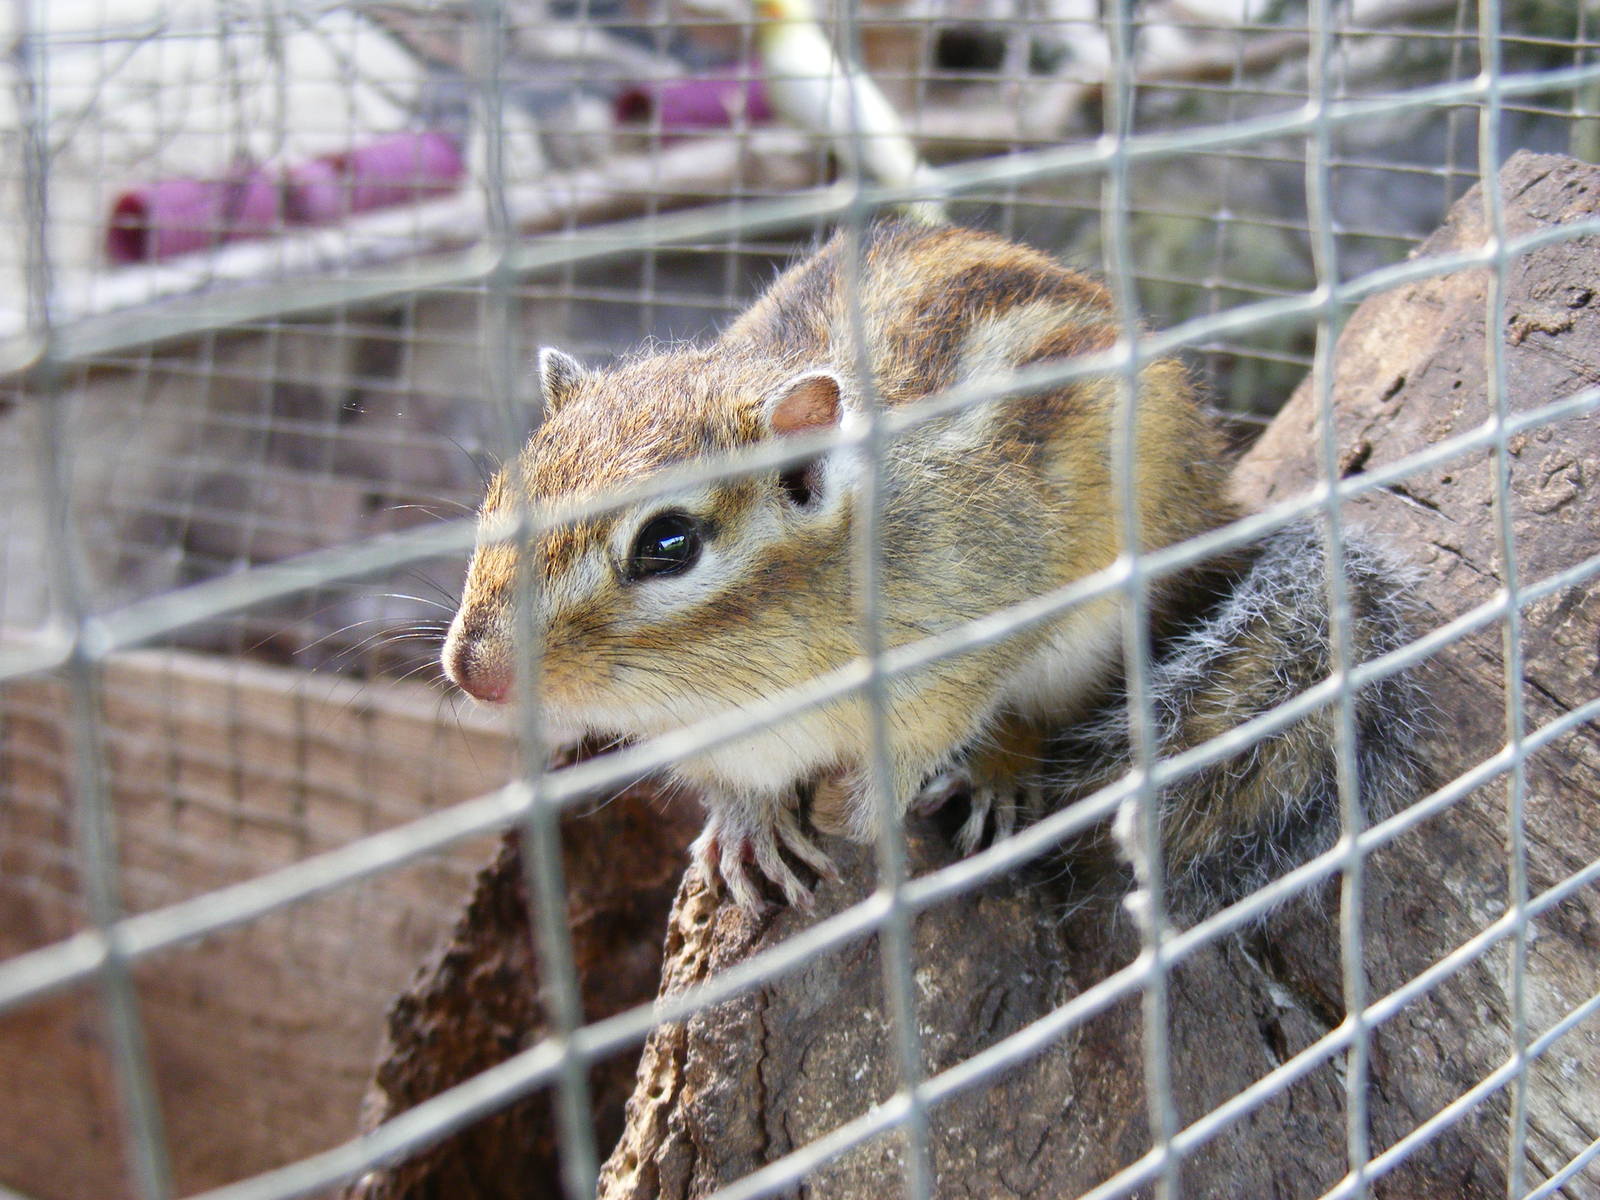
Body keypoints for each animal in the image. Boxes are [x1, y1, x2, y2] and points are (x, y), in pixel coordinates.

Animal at [442, 219, 1424, 916]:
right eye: (498, 492)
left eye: (669, 544)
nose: (472, 671)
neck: (743, 685)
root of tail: (1213, 504)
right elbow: (735, 790)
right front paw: (743, 828)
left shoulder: (987, 617)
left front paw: (871, 815)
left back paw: (998, 776)